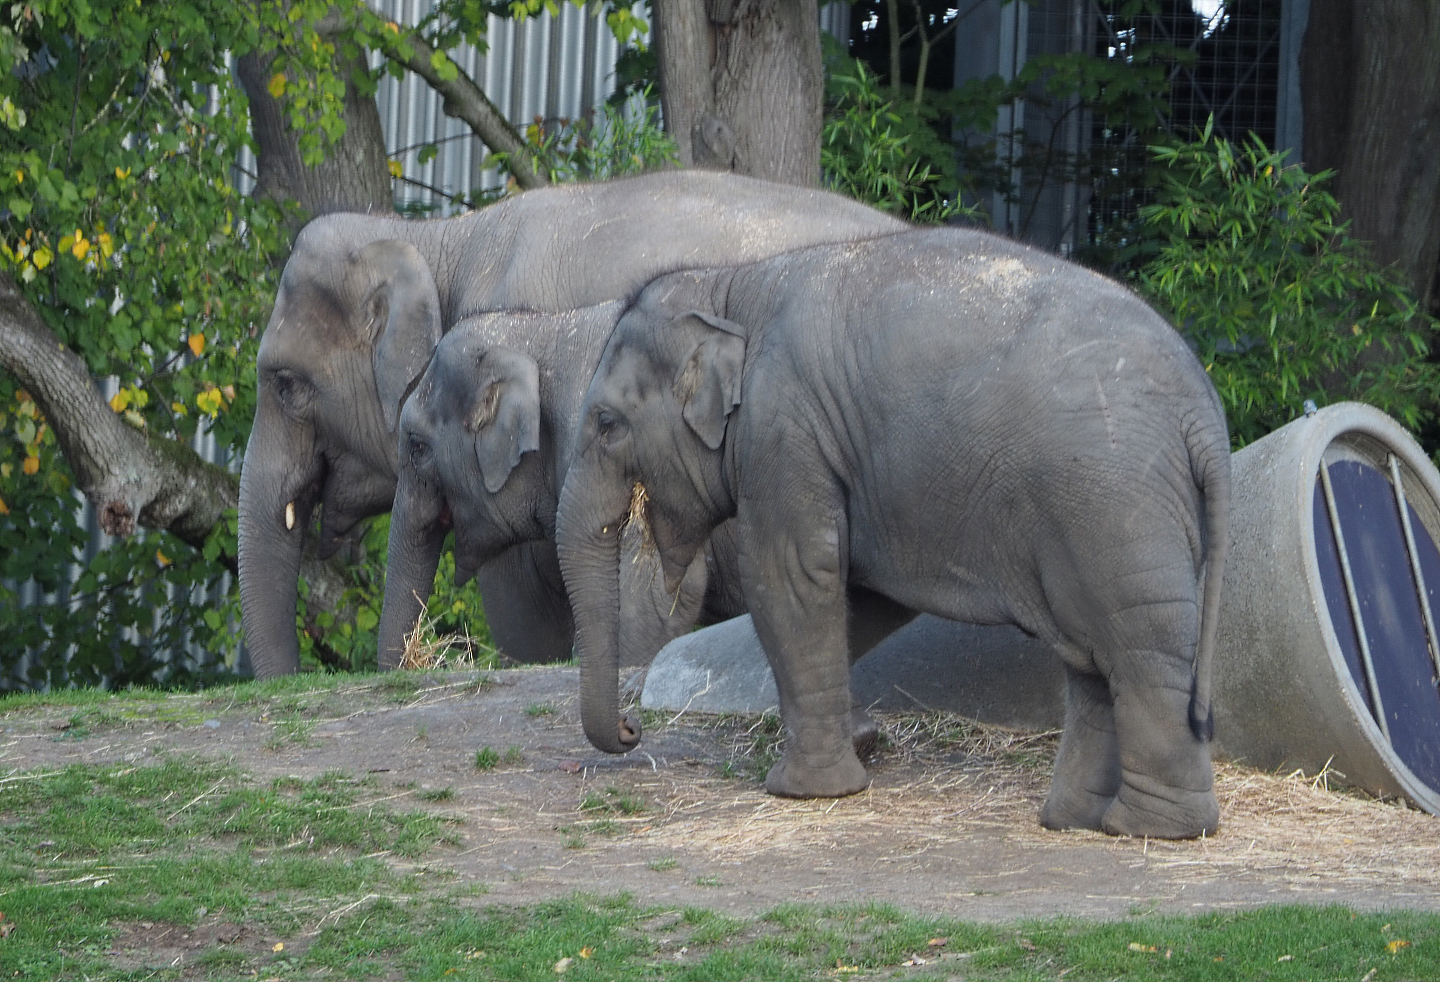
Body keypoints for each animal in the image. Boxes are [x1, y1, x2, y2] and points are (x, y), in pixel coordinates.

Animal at [556, 226, 1231, 840]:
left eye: (607, 424)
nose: (631, 730)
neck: (731, 283)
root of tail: (1205, 417)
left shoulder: (783, 425)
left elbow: (793, 576)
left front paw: (806, 792)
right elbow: (865, 593)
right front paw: (857, 740)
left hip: (1114, 511)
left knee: (1136, 650)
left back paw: (1154, 830)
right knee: (1093, 657)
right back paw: (1073, 821)